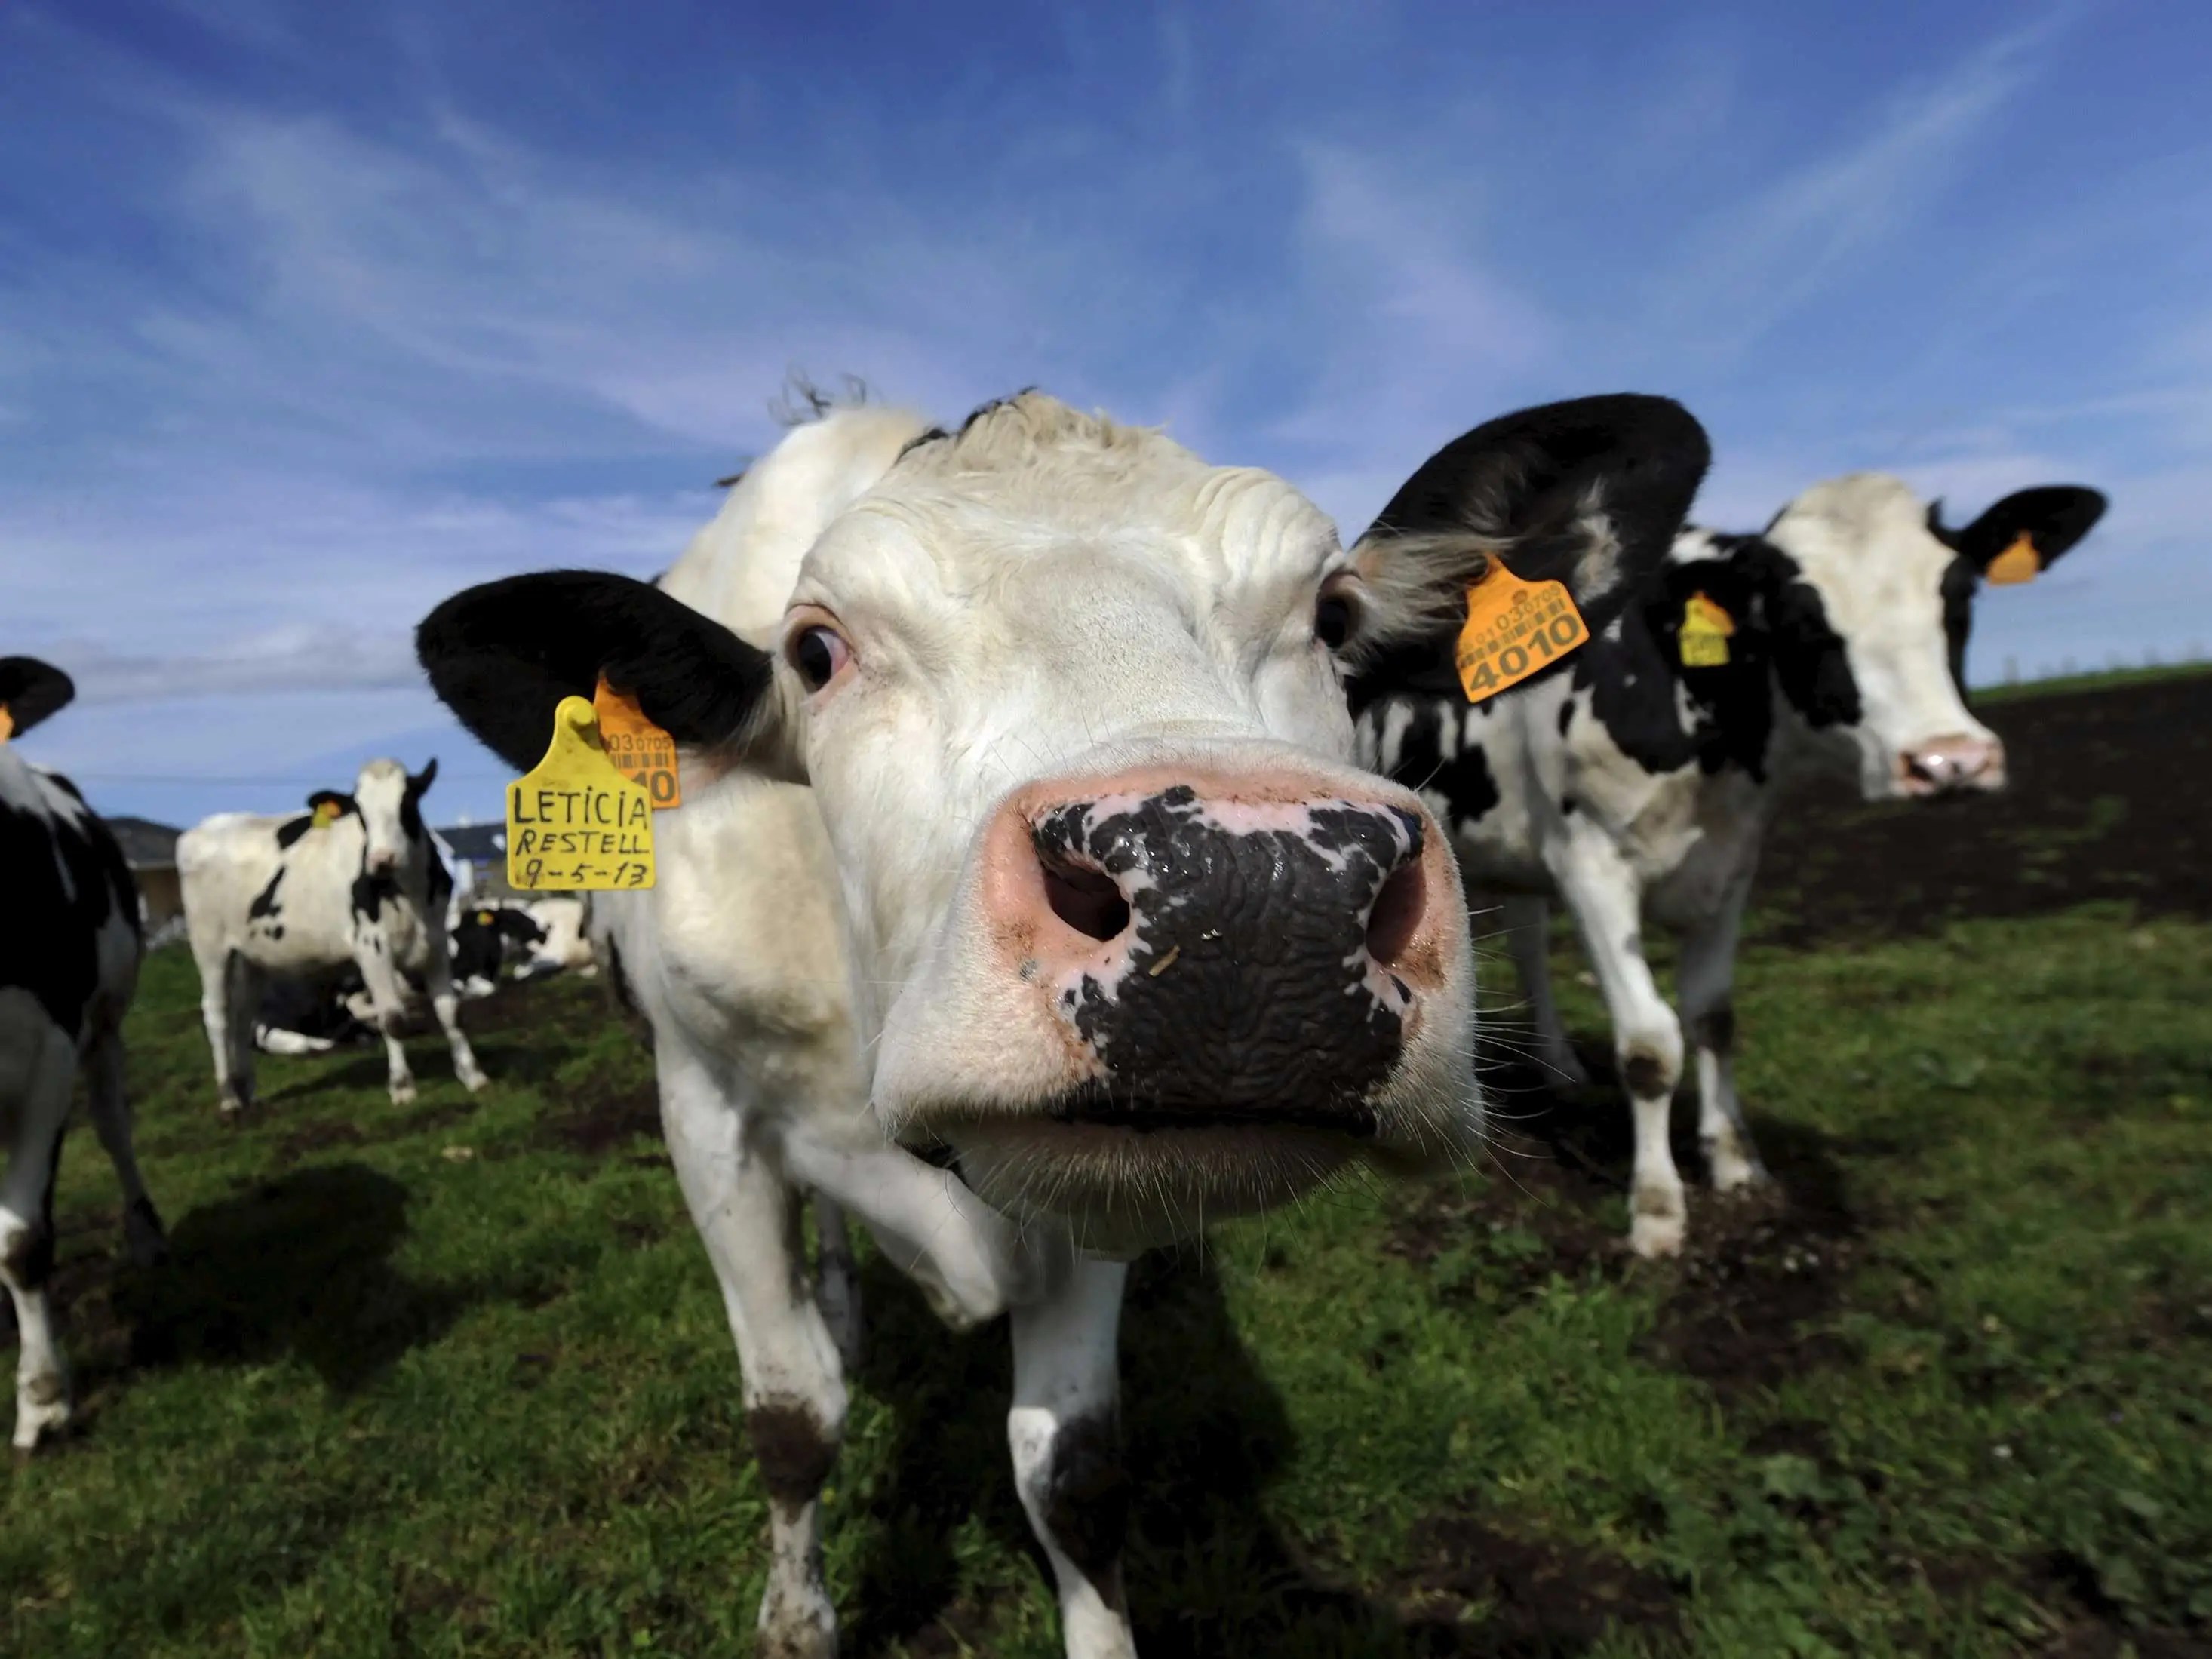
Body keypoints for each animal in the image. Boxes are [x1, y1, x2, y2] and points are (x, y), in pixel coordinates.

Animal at [176, 758, 488, 1113]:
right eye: (361, 813)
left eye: (407, 802)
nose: (381, 860)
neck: (412, 897)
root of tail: (201, 829)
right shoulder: (372, 948)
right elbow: (392, 1019)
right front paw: (402, 1086)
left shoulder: (436, 942)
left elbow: (451, 1012)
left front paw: (472, 1075)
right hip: (209, 946)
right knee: (217, 1016)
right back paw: (228, 1098)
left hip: (252, 956)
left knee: (242, 1017)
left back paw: (247, 1089)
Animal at [416, 388, 1708, 1658]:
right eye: (816, 651)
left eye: (1334, 615)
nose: (1251, 895)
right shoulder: (706, 1111)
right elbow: (793, 1419)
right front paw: (796, 1619)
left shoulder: (1104, 1170)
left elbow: (1073, 1471)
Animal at [1352, 458, 2105, 1257]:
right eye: (1799, 619)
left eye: (1959, 596)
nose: (1950, 761)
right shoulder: (1592, 865)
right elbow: (1651, 1045)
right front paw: (1657, 1208)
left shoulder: (1733, 863)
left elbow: (1713, 1016)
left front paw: (1735, 1163)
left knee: (1527, 941)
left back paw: (1557, 1065)